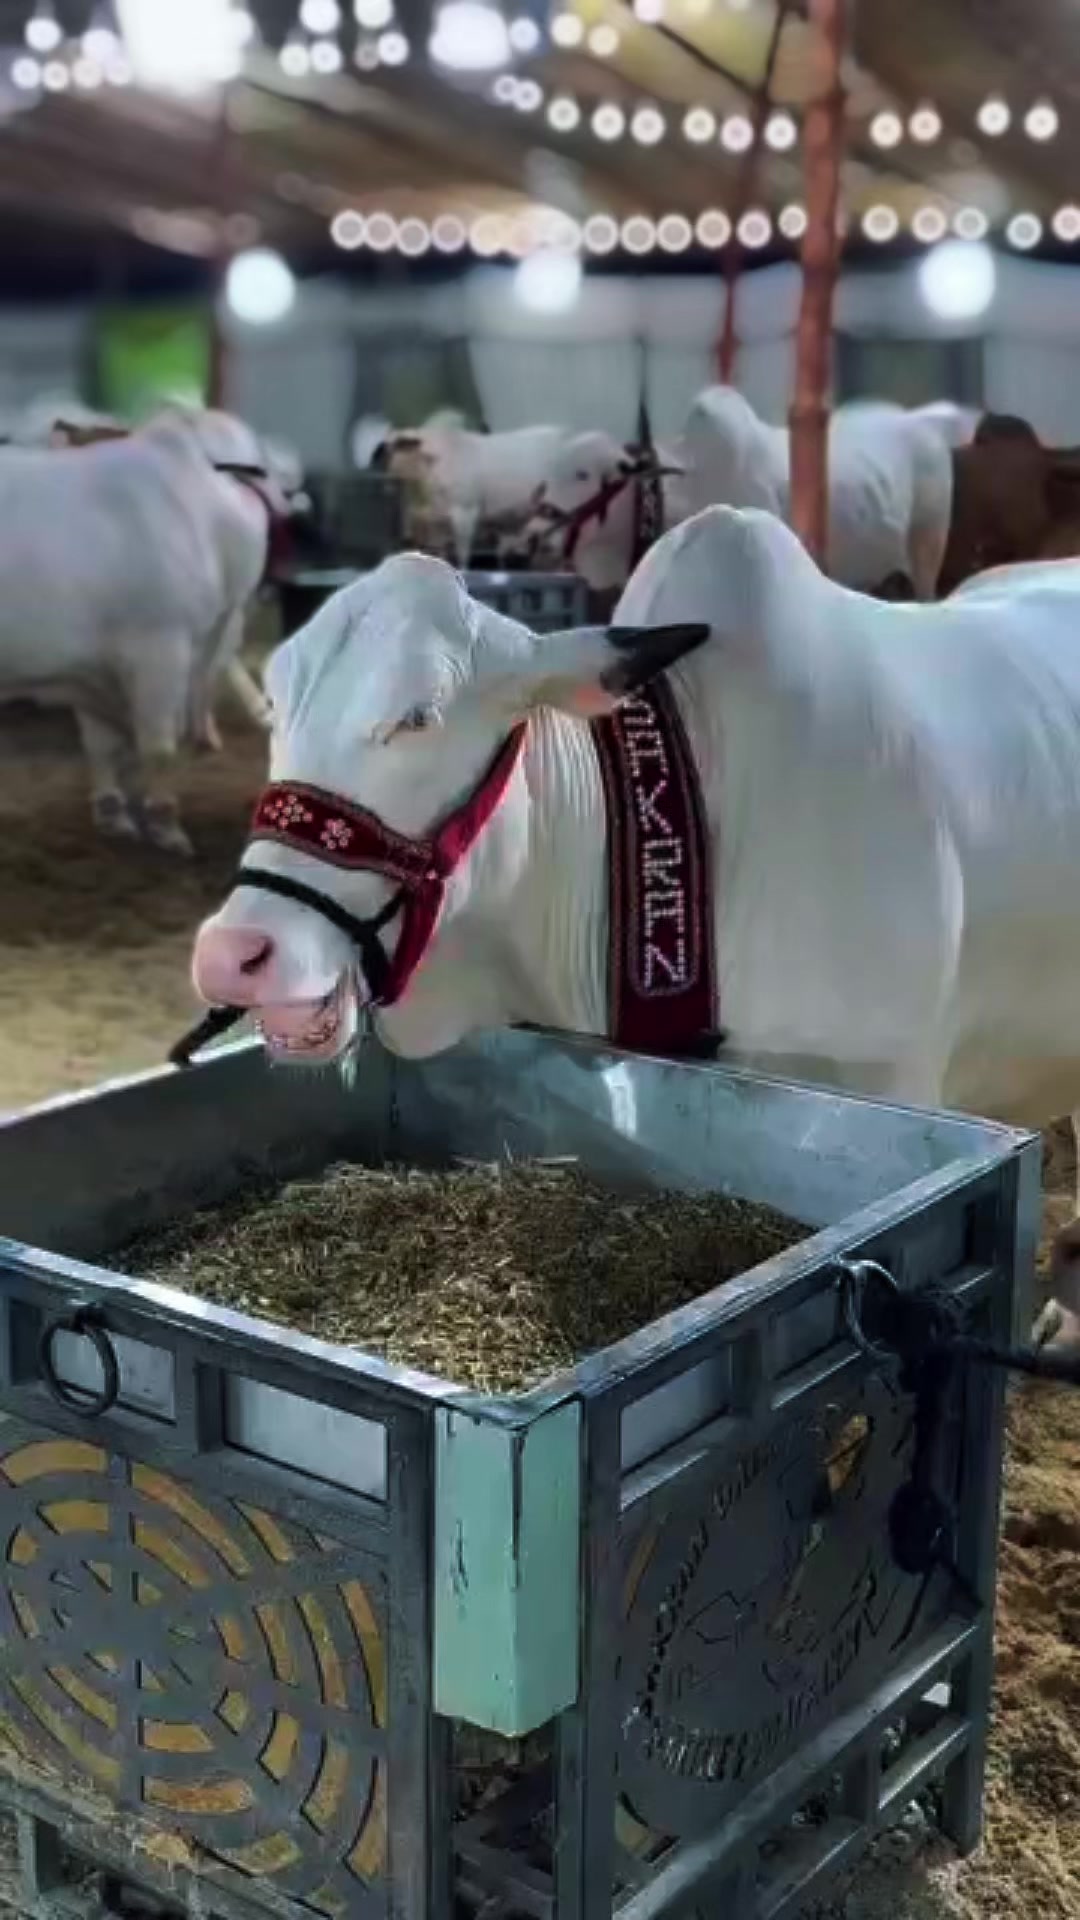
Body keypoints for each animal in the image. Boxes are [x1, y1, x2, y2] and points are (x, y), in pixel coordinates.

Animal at [0, 408, 289, 855]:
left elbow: (101, 745)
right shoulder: (161, 646)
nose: (287, 498)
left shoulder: (89, 662)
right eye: (259, 464)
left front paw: (113, 815)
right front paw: (165, 825)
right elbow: (159, 747)